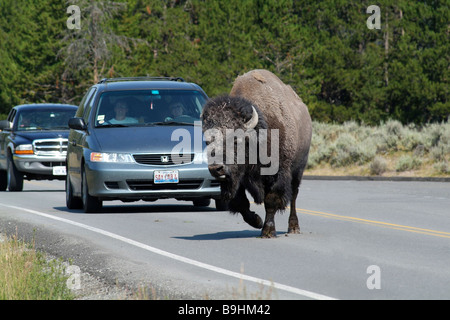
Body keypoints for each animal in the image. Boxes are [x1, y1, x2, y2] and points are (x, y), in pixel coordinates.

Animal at [201, 70, 312, 238]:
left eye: (236, 140)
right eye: (208, 141)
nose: (216, 168)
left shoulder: (277, 175)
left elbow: (271, 201)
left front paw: (268, 231)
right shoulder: (237, 179)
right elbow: (240, 203)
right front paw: (257, 221)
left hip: (298, 170)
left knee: (293, 196)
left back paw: (293, 227)